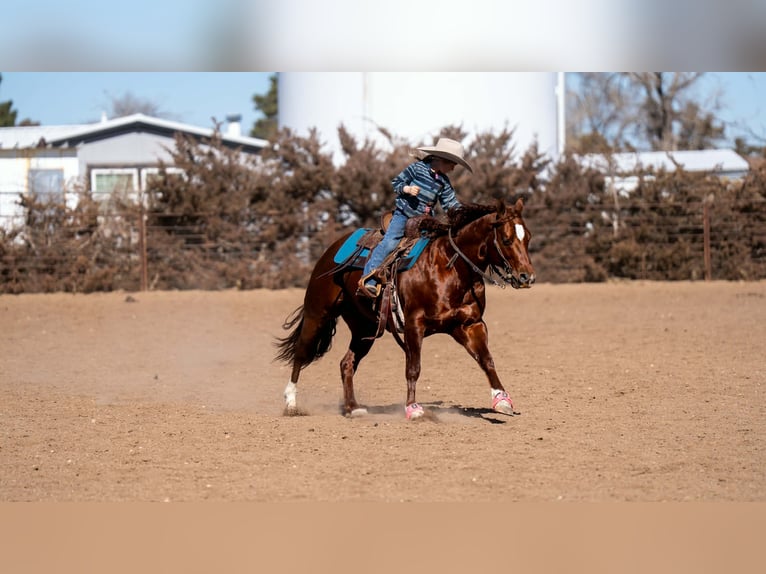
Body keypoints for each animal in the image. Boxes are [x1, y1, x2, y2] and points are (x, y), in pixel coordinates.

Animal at [274, 197, 535, 420]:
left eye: (528, 238)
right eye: (506, 239)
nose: (527, 277)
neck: (449, 266)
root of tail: (331, 250)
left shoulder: (469, 324)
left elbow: (486, 360)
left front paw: (502, 401)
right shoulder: (414, 325)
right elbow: (413, 368)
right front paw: (413, 408)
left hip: (364, 328)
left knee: (346, 363)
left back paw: (353, 408)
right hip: (317, 314)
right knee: (301, 353)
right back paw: (291, 404)